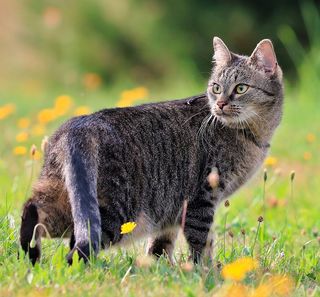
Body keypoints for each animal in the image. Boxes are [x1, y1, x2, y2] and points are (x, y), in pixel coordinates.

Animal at [19, 37, 282, 264]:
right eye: (216, 88)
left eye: (241, 88)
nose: (220, 104)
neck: (252, 134)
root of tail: (78, 126)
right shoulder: (201, 199)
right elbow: (201, 244)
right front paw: (205, 273)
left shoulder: (173, 210)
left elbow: (161, 245)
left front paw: (161, 267)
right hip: (118, 212)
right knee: (76, 246)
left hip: (61, 195)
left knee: (33, 211)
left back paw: (30, 254)